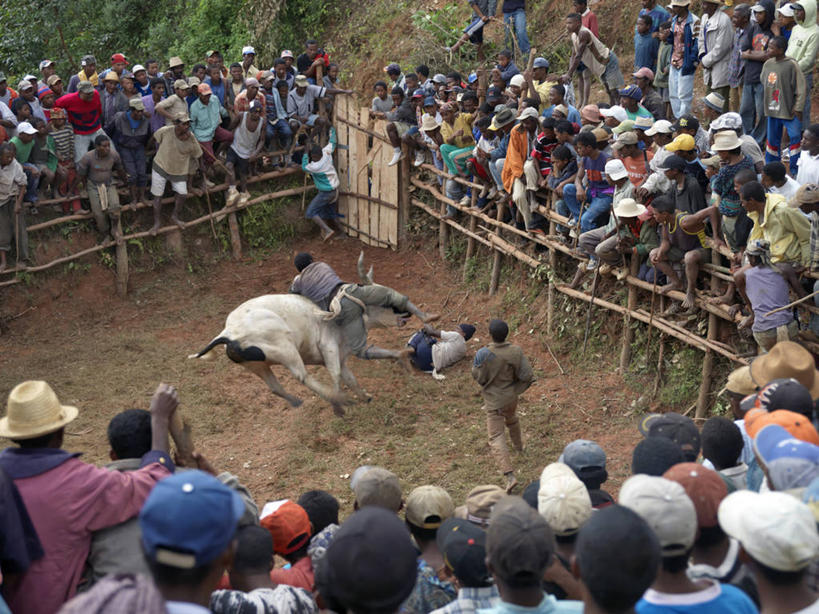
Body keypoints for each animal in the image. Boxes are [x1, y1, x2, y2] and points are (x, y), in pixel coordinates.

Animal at [187, 253, 402, 416]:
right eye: (385, 303)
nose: (404, 316)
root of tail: (229, 333)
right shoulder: (329, 347)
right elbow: (336, 375)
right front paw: (342, 401)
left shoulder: (340, 356)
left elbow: (350, 378)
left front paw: (365, 397)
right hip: (286, 350)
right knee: (302, 376)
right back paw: (338, 400)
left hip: (257, 365)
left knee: (275, 387)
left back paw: (298, 401)